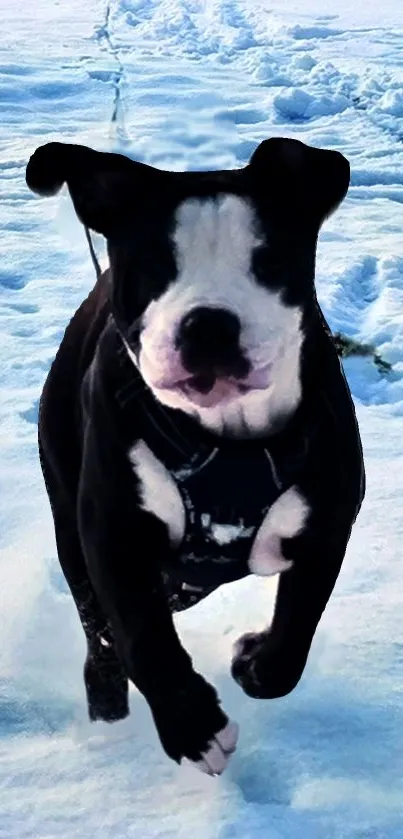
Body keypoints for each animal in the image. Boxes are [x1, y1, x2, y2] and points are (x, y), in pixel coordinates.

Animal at [25, 138, 366, 776]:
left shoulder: (326, 525)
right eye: (153, 264)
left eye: (268, 260)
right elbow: (141, 636)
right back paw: (107, 710)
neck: (226, 440)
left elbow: (294, 639)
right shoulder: (112, 531)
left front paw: (253, 661)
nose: (208, 324)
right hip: (66, 513)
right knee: (99, 631)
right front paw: (194, 728)